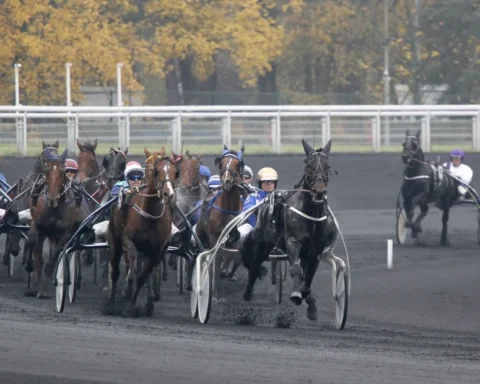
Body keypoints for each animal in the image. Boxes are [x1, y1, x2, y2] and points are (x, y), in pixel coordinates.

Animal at [23, 148, 87, 298]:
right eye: (46, 170)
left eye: (63, 171)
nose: (52, 198)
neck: (54, 207)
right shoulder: (38, 225)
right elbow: (33, 243)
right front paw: (33, 283)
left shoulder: (64, 234)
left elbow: (52, 261)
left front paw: (42, 291)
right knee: (36, 249)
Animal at [106, 146, 177, 316]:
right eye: (156, 170)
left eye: (175, 171)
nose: (168, 194)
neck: (150, 215)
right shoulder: (129, 242)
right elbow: (131, 274)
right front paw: (128, 296)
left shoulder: (156, 251)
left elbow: (143, 277)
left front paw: (134, 306)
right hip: (114, 241)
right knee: (115, 272)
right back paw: (111, 305)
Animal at [196, 144, 248, 300]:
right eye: (222, 163)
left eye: (238, 164)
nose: (226, 182)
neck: (228, 208)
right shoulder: (213, 237)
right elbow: (214, 262)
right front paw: (214, 294)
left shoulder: (237, 236)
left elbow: (231, 256)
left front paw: (226, 273)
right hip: (200, 231)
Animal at [240, 139, 334, 320]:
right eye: (308, 165)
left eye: (328, 166)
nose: (319, 191)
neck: (310, 214)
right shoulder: (293, 242)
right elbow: (296, 269)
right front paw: (296, 295)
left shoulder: (316, 250)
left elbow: (308, 278)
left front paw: (307, 299)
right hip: (262, 243)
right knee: (254, 266)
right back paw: (247, 293)